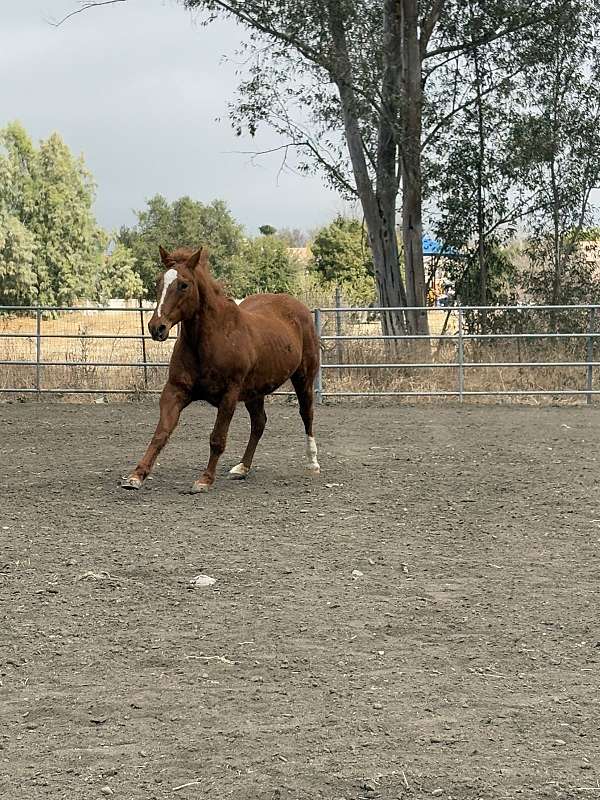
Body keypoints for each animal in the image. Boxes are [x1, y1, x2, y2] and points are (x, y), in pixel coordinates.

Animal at [119, 245, 322, 494]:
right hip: (255, 392)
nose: (157, 327)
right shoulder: (175, 391)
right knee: (259, 423)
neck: (211, 339)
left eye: (184, 285)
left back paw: (312, 463)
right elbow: (161, 434)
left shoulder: (229, 395)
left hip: (303, 378)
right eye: (158, 282)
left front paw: (204, 480)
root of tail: (298, 308)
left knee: (306, 414)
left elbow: (217, 438)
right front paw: (136, 476)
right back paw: (242, 468)